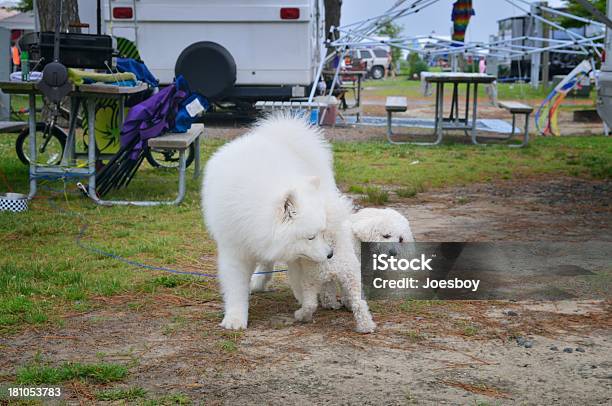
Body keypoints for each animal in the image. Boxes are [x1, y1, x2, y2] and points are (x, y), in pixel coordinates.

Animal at [202, 114, 338, 330]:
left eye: (322, 233)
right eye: (310, 237)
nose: (330, 254)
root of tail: (280, 135)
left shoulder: (296, 253)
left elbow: (300, 279)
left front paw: (306, 303)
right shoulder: (235, 248)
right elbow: (236, 287)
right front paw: (235, 318)